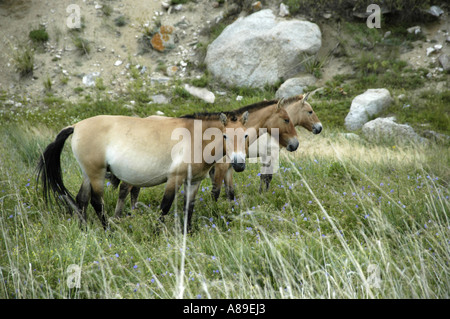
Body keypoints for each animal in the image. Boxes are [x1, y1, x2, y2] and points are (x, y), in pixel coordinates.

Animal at [36, 112, 250, 232]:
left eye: (246, 135)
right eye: (225, 136)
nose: (239, 164)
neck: (196, 138)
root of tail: (76, 126)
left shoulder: (193, 182)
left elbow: (189, 208)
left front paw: (187, 233)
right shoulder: (175, 178)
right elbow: (165, 206)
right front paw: (156, 232)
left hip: (89, 174)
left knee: (81, 199)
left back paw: (84, 229)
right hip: (96, 174)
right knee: (96, 202)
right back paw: (109, 231)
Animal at [112, 100, 298, 219]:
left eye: (245, 135)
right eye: (286, 119)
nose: (295, 144)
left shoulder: (227, 169)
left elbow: (230, 192)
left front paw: (230, 212)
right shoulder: (220, 168)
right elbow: (216, 191)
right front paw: (213, 211)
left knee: (134, 189)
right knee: (125, 188)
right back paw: (119, 218)